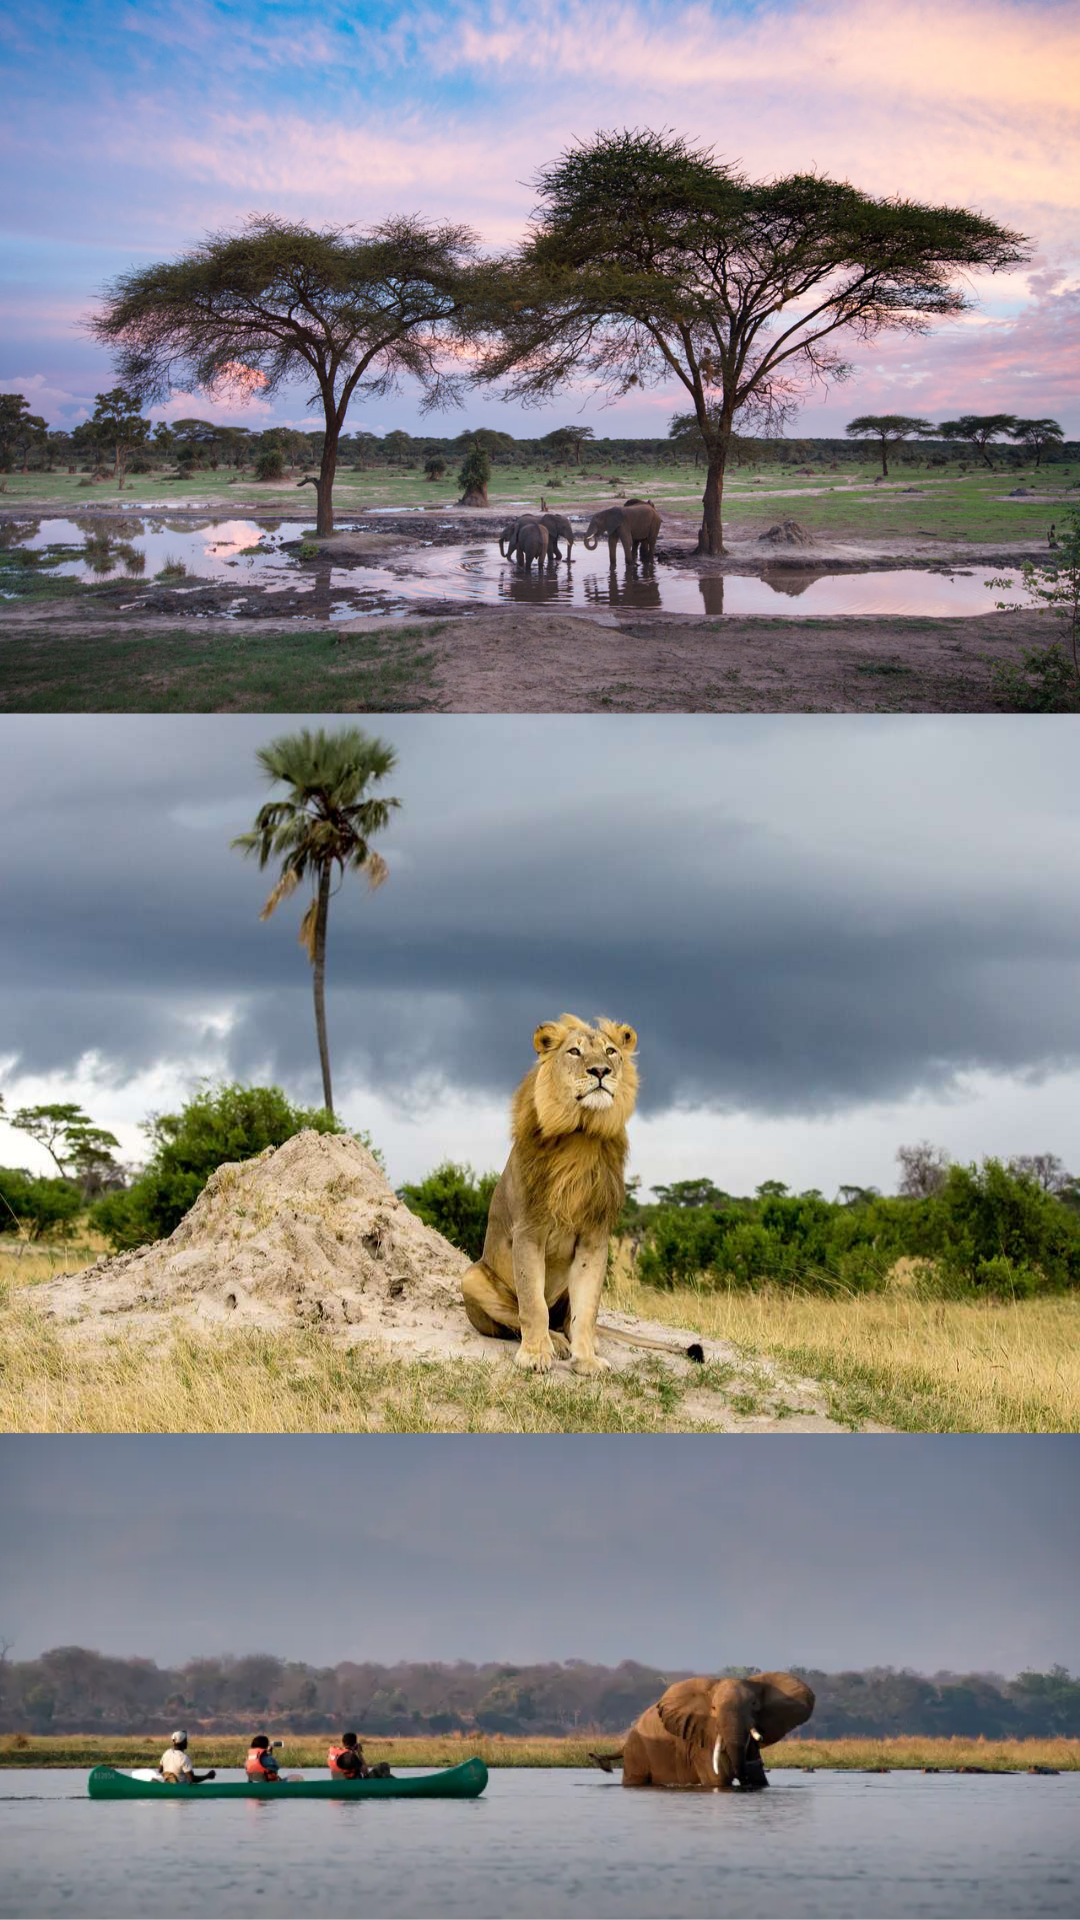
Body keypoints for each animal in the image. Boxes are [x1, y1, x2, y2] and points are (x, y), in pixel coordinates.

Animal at [460, 1014, 638, 1374]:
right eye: (574, 1051)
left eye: (611, 1051)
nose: (601, 1071)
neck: (581, 1137)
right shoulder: (528, 1232)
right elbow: (532, 1305)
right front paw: (534, 1354)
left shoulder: (594, 1239)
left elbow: (586, 1309)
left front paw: (586, 1359)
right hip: (469, 1277)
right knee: (517, 1318)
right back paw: (553, 1343)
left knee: (570, 1319)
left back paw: (580, 1341)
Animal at [589, 1671, 814, 1790]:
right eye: (713, 1708)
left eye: (754, 1705)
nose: (758, 1764)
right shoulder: (701, 1739)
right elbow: (718, 1779)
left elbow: (759, 1780)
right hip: (637, 1751)